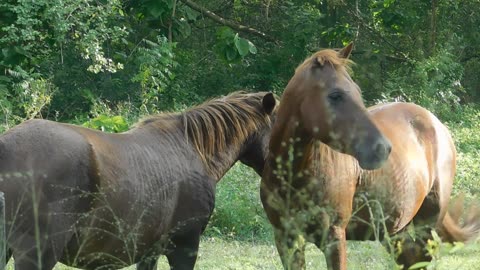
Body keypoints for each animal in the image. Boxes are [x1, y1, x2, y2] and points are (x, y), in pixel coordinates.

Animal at [262, 44, 480, 270]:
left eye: (357, 92)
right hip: (395, 230)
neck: (294, 177)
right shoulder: (286, 239)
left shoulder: (334, 237)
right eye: (335, 95)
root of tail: (436, 124)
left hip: (427, 224)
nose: (382, 148)